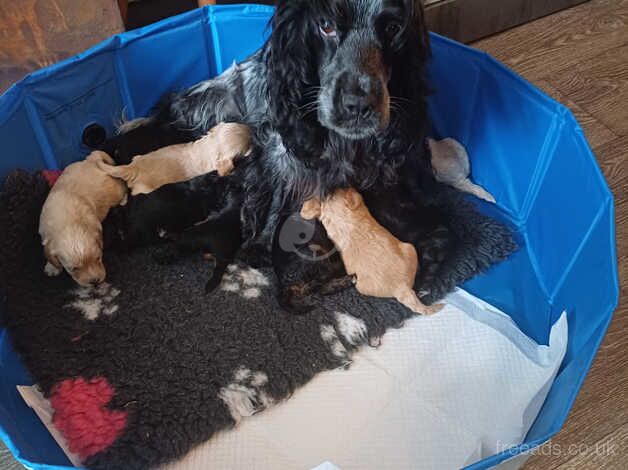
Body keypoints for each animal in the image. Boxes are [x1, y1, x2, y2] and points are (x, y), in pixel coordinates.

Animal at [39, 152, 127, 288]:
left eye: (98, 258)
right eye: (74, 269)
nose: (95, 282)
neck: (68, 223)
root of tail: (91, 160)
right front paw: (52, 267)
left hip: (115, 190)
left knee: (123, 188)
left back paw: (124, 200)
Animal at [98, 122, 253, 196]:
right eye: (247, 147)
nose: (252, 129)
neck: (209, 146)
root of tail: (131, 168)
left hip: (137, 157)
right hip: (144, 189)